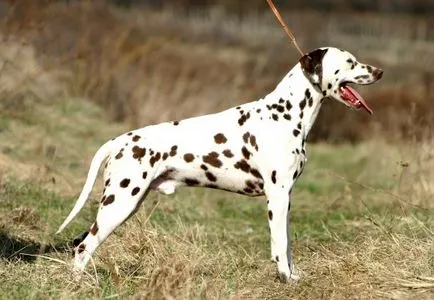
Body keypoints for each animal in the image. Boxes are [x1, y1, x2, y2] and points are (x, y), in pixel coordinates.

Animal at [56, 46, 384, 282]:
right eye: (351, 62)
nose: (380, 71)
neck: (285, 113)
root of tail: (119, 141)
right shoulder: (277, 196)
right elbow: (280, 243)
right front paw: (286, 279)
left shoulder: (286, 198)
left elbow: (287, 244)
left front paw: (292, 275)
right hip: (119, 204)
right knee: (84, 246)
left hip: (124, 205)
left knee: (80, 241)